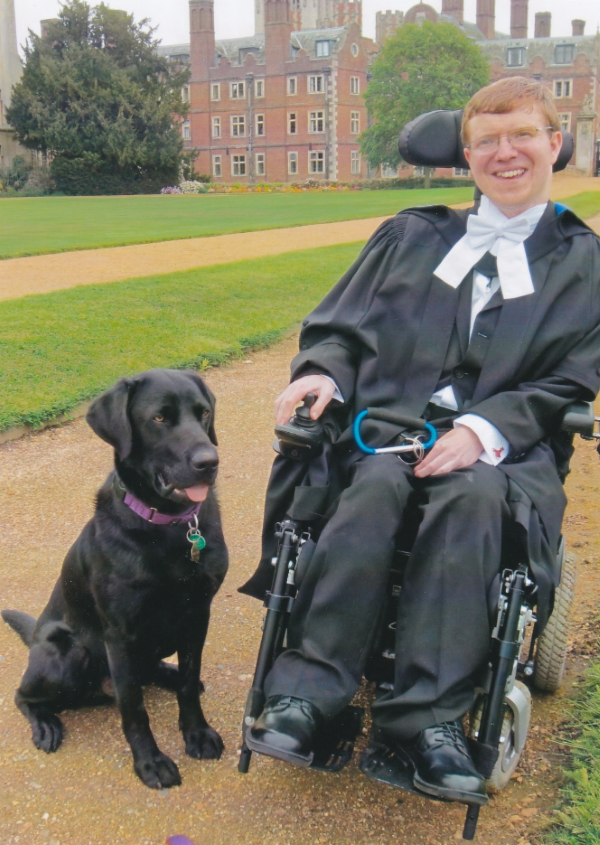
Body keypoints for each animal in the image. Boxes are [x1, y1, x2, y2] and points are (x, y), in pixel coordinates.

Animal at [2, 370, 227, 792]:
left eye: (204, 413)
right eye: (159, 418)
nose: (210, 461)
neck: (167, 527)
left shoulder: (197, 615)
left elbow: (190, 682)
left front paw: (197, 733)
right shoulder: (119, 634)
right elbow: (133, 707)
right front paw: (151, 762)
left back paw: (166, 673)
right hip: (67, 652)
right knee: (23, 697)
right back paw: (45, 724)